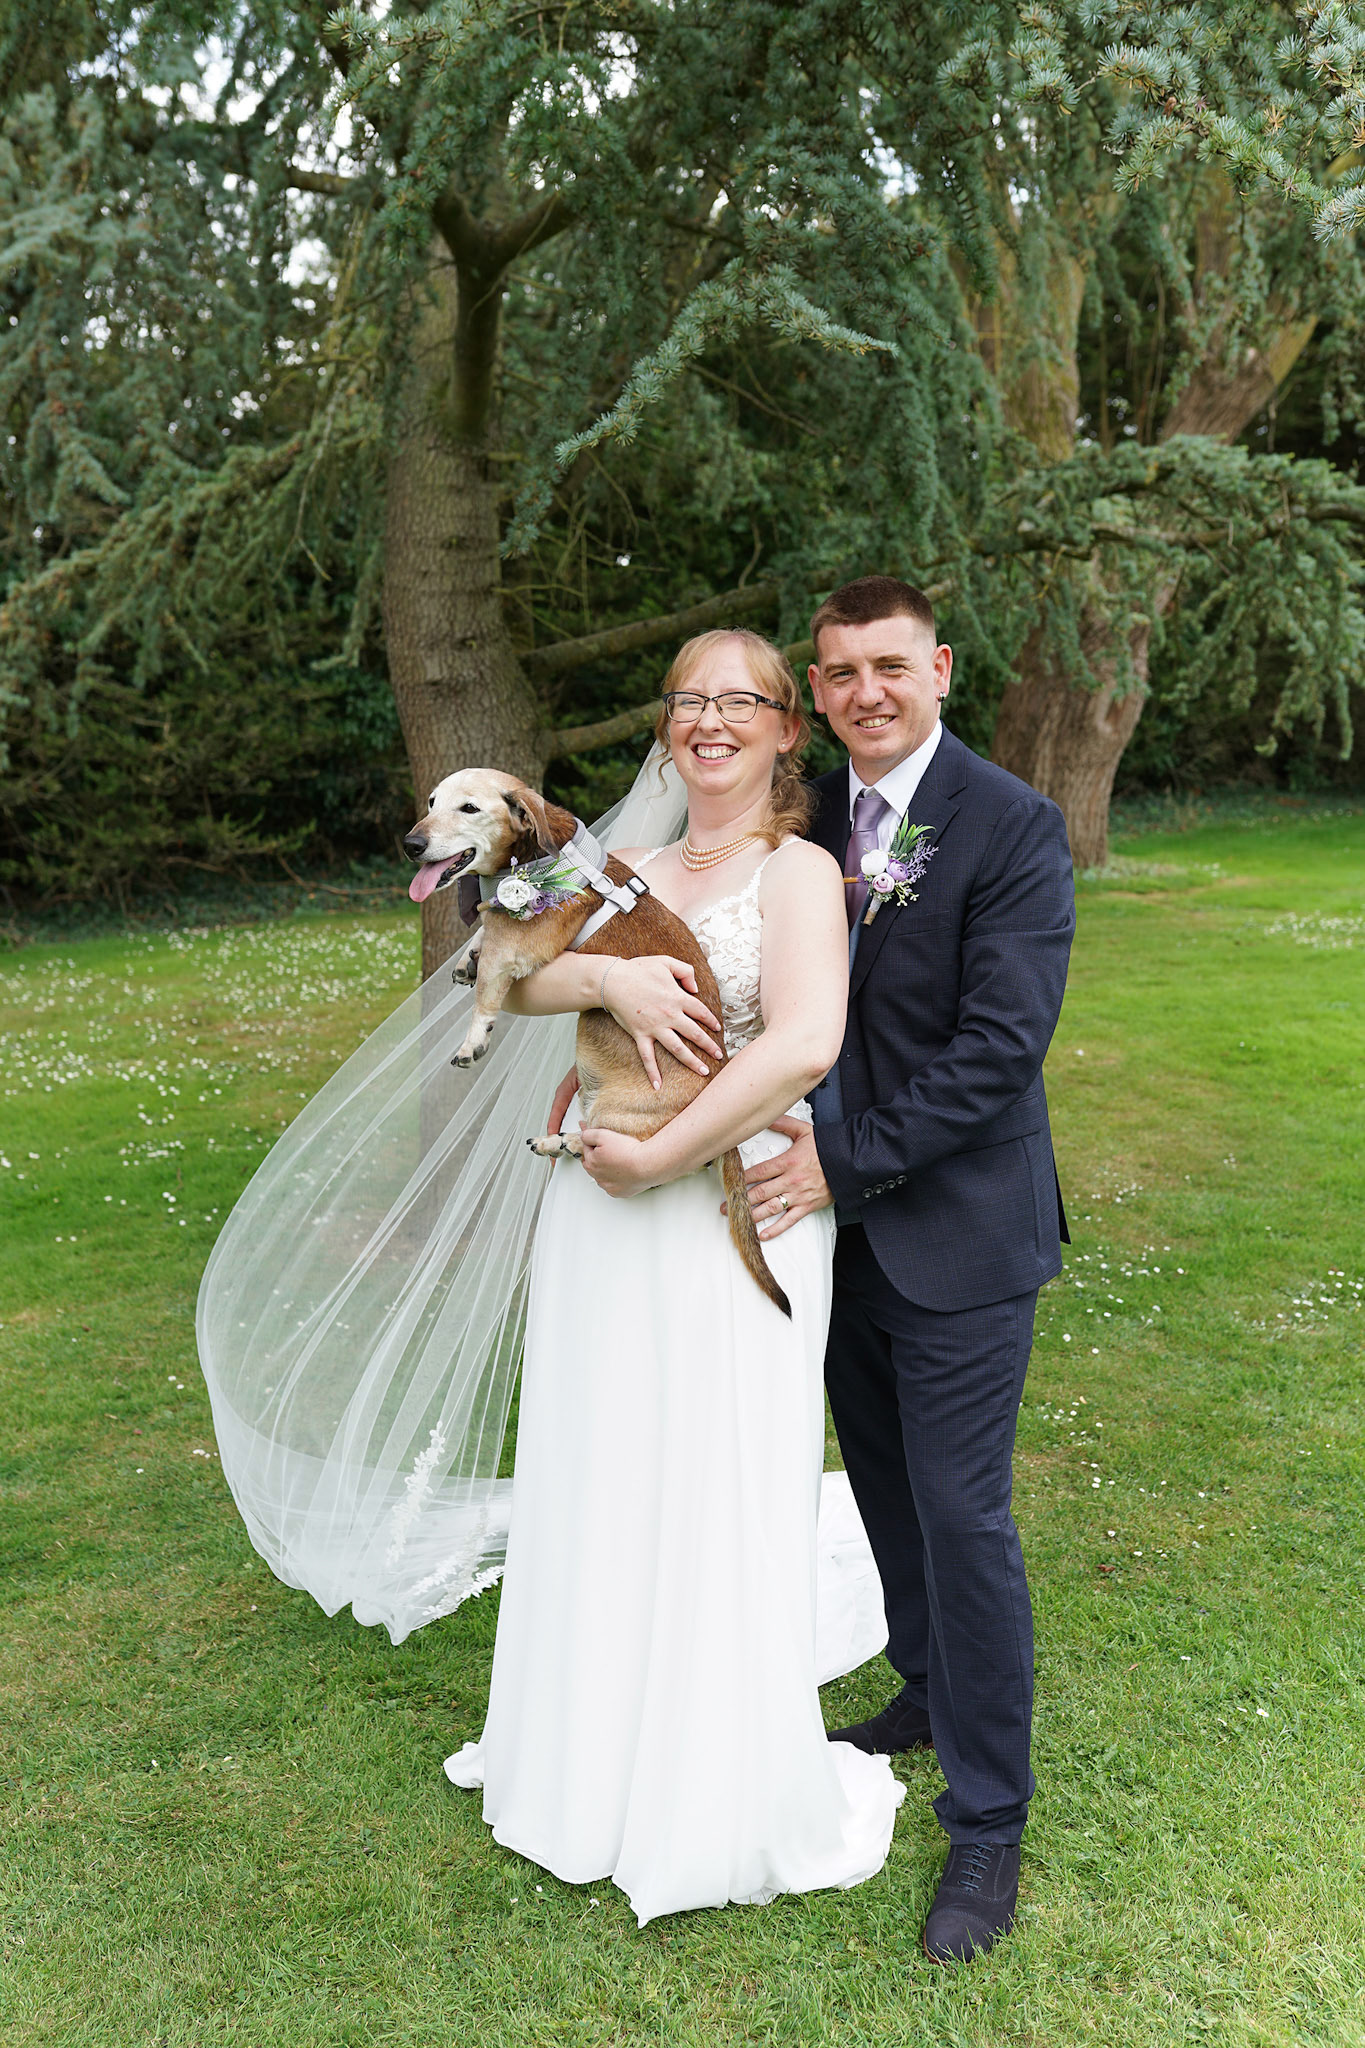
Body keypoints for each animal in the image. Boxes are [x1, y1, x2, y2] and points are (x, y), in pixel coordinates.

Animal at [404, 768, 789, 1317]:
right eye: (432, 802)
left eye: (469, 808)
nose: (410, 844)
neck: (539, 855)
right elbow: (483, 932)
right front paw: (466, 956)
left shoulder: (513, 948)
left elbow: (487, 982)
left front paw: (473, 1037)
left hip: (615, 1108)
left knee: (625, 1153)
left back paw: (559, 1140)